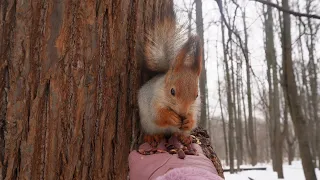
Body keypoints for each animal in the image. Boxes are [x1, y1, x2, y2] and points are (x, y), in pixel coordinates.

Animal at [138, 18, 202, 148]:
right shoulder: (154, 98)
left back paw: (184, 137)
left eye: (197, 95)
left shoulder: (195, 106)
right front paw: (171, 117)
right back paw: (152, 137)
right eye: (172, 91)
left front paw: (188, 121)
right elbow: (157, 115)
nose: (182, 113)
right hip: (147, 124)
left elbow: (193, 118)